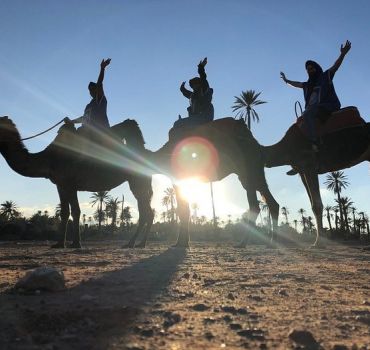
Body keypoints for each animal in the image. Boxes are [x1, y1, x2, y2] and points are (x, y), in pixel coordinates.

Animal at [0, 117, 153, 249]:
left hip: (137, 182)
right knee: (147, 211)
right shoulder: (60, 185)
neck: (48, 159)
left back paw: (134, 243)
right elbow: (64, 212)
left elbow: (75, 211)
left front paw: (76, 244)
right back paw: (139, 243)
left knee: (146, 212)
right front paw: (59, 244)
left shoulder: (69, 184)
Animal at [114, 116, 278, 247]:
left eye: (122, 125)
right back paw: (271, 242)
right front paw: (183, 241)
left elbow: (183, 210)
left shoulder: (177, 178)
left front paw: (181, 243)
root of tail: (256, 144)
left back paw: (243, 243)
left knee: (255, 205)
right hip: (254, 172)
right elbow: (184, 209)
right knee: (271, 202)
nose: (113, 128)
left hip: (247, 169)